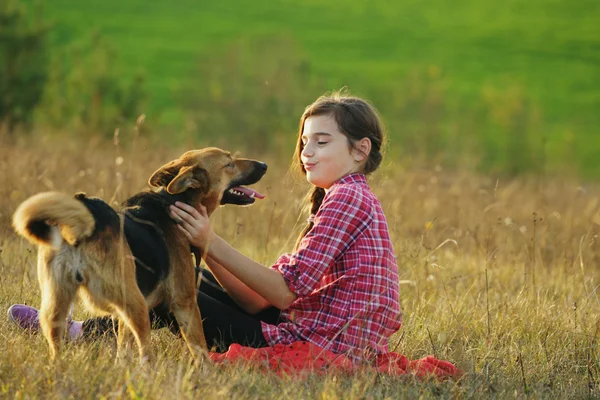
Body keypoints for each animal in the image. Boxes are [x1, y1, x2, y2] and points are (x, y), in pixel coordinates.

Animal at [11, 147, 268, 362]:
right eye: (229, 163)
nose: (264, 164)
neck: (174, 199)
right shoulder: (185, 303)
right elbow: (200, 350)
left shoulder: (125, 319)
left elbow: (123, 351)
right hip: (137, 306)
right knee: (146, 354)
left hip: (58, 307)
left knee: (57, 349)